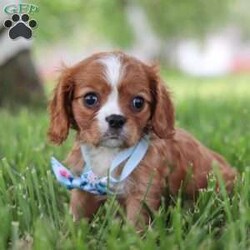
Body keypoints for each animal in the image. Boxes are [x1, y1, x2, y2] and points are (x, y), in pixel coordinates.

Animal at [47, 50, 237, 227]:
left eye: (138, 102)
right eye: (90, 99)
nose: (116, 119)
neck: (110, 152)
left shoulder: (143, 189)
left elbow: (136, 223)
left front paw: (133, 237)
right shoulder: (82, 184)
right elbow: (77, 215)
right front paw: (68, 233)